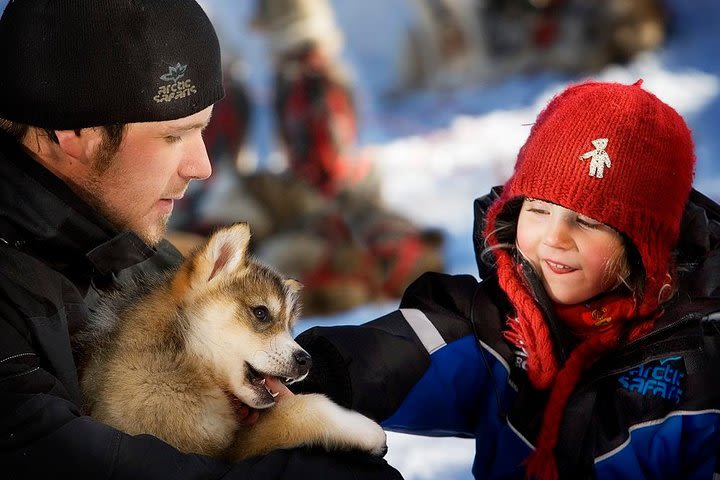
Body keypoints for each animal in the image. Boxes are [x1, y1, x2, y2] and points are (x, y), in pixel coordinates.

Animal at [74, 223, 388, 460]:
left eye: (290, 326)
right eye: (261, 313)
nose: (306, 361)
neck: (181, 354)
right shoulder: (210, 449)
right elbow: (296, 410)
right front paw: (363, 429)